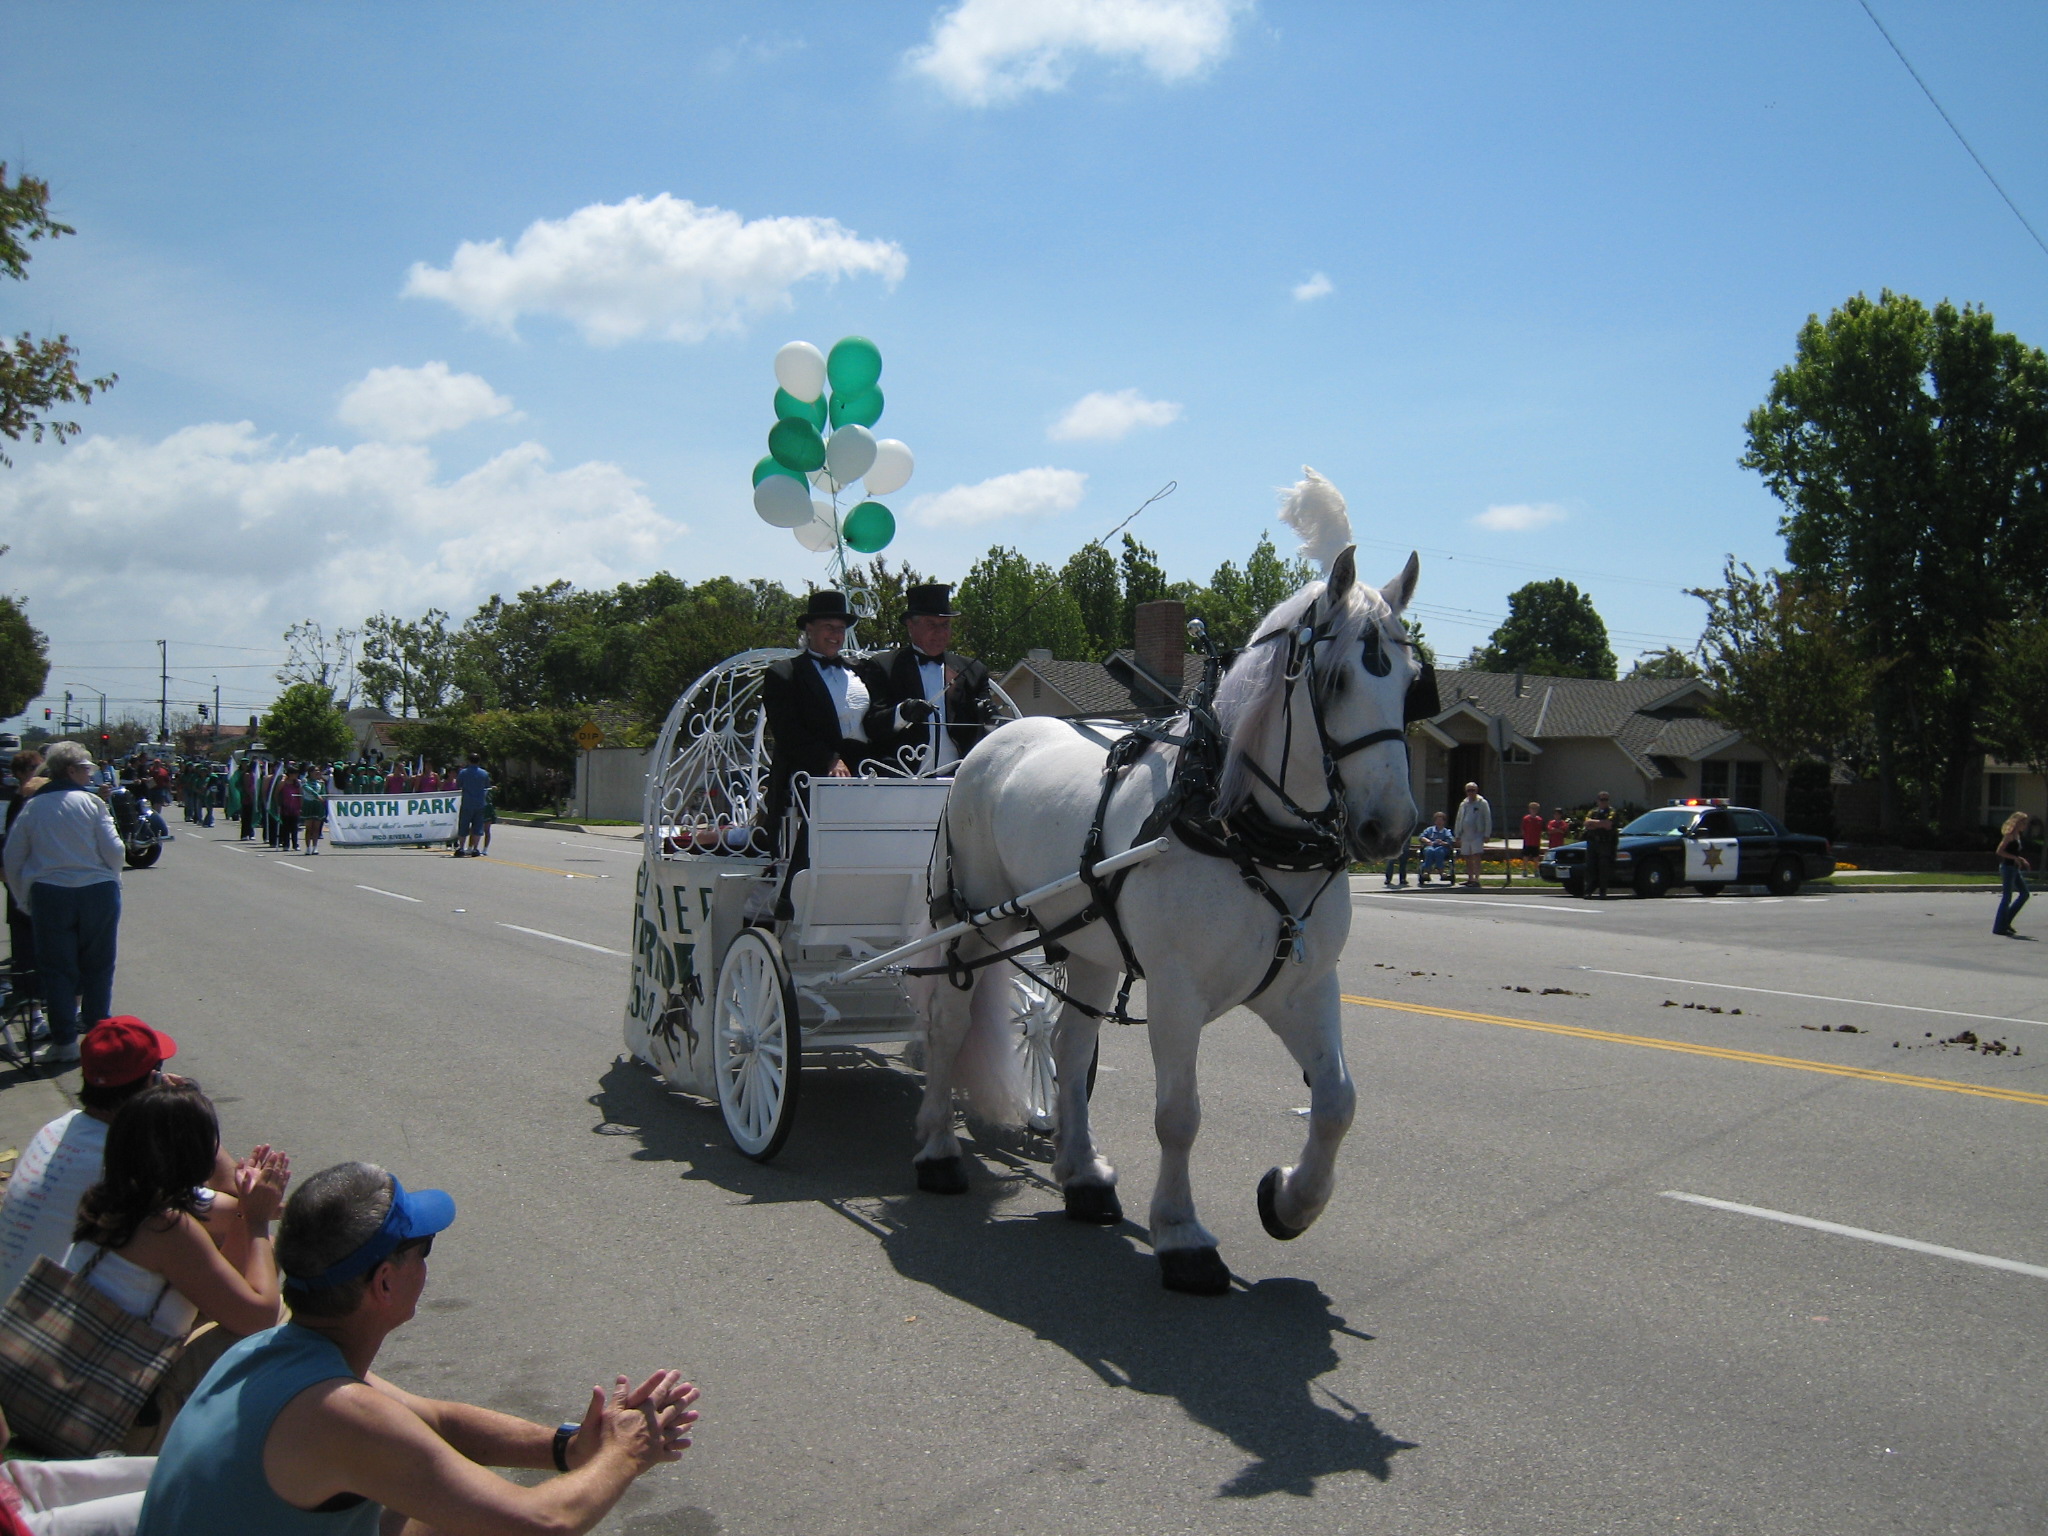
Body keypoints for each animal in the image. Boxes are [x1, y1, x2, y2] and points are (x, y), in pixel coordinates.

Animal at [917, 475, 1425, 1294]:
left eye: (1412, 684)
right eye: (1338, 677)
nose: (1389, 826)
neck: (1240, 825)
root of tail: (994, 737)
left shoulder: (1303, 985)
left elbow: (1337, 1102)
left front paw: (1291, 1202)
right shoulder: (1179, 991)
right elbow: (1180, 1114)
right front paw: (1183, 1236)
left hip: (1089, 946)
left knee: (1068, 1042)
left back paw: (1082, 1175)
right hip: (970, 921)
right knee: (947, 1027)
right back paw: (935, 1151)